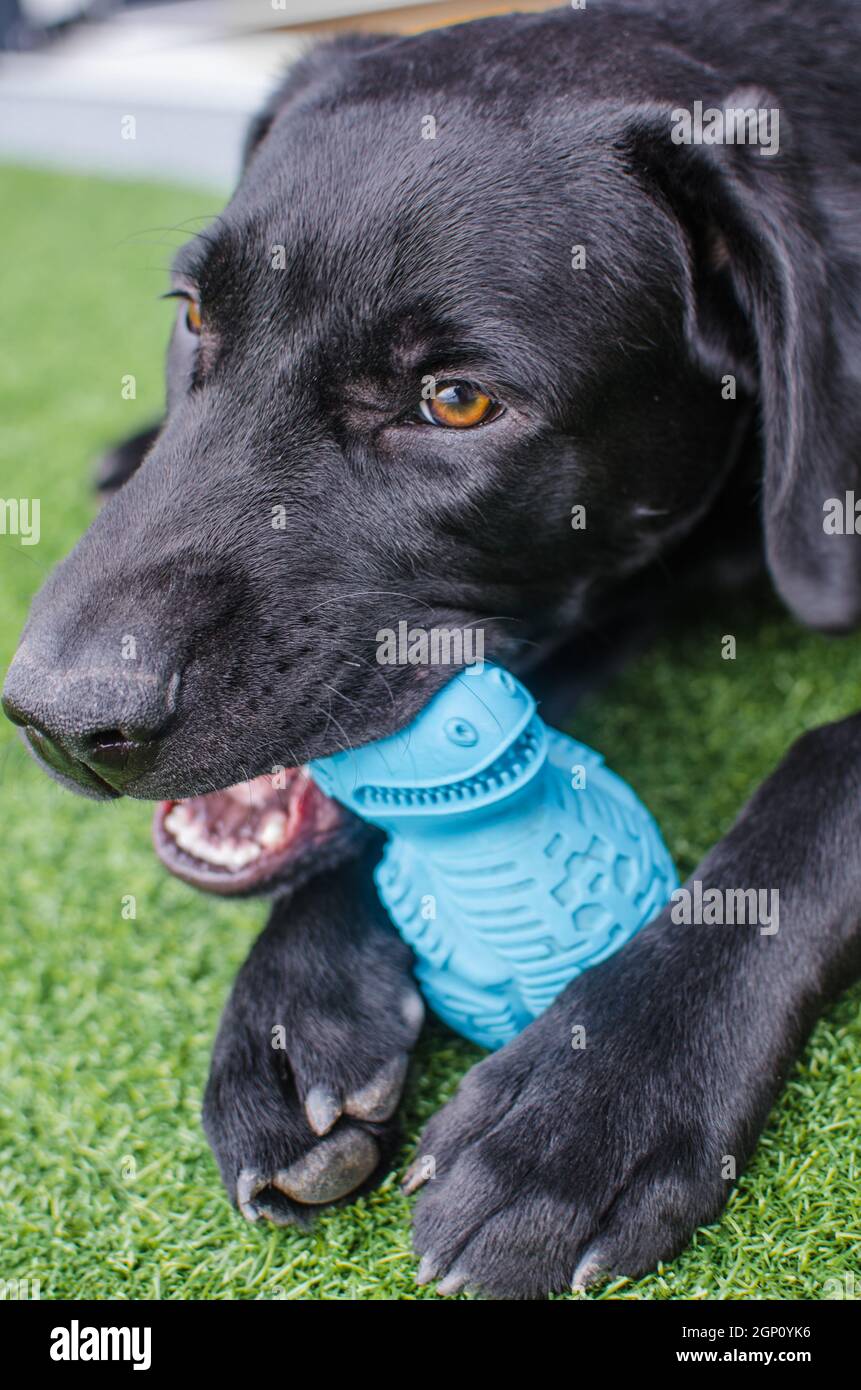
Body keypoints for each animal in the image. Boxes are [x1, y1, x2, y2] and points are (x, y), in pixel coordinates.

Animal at [1, 2, 861, 1301]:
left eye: (456, 402)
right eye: (195, 314)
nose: (54, 720)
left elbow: (822, 770)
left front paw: (594, 1094)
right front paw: (295, 994)